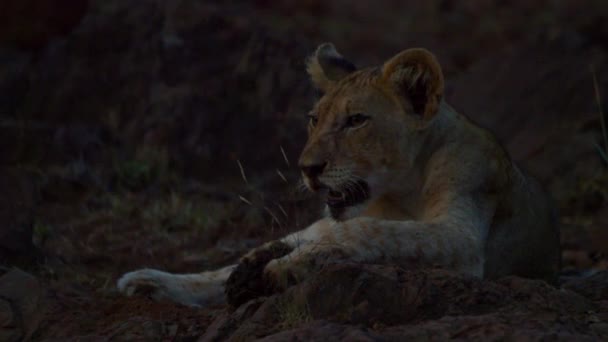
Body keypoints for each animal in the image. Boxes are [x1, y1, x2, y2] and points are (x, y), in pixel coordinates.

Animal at [115, 42, 560, 308]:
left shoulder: (463, 237)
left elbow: (373, 233)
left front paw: (286, 267)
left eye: (356, 121)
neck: (400, 192)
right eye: (314, 119)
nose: (308, 169)